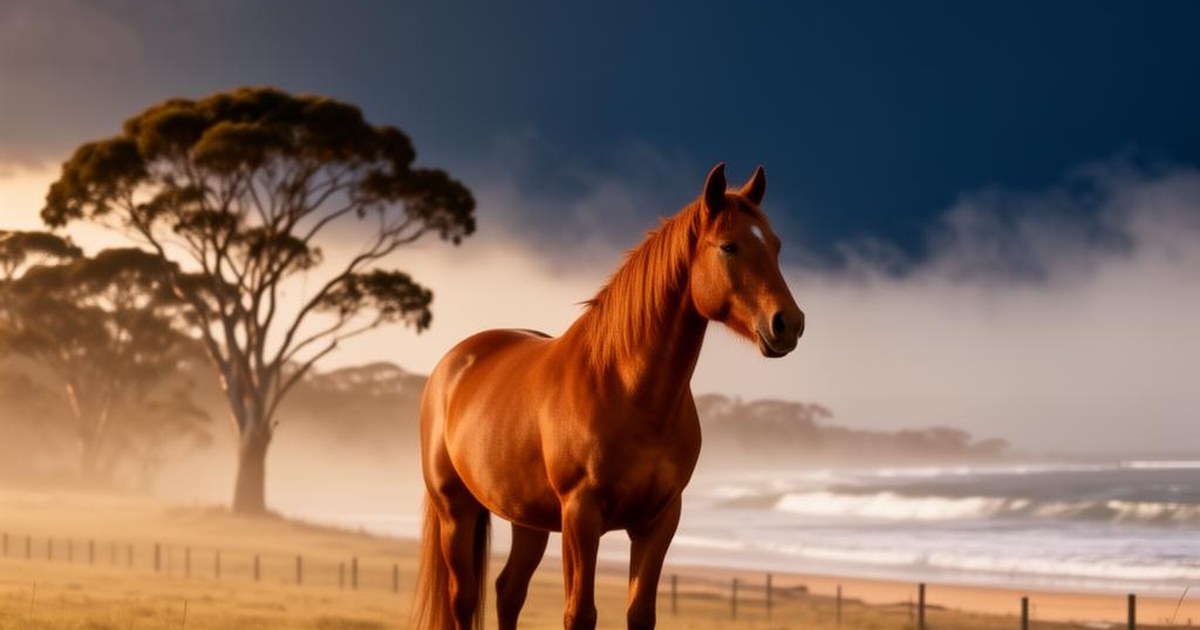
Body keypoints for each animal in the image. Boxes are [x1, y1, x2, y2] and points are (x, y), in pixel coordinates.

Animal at [414, 163, 805, 630]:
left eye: (777, 246)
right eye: (729, 246)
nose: (788, 323)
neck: (625, 391)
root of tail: (454, 362)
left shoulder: (660, 520)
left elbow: (641, 613)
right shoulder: (581, 516)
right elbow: (580, 613)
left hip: (527, 519)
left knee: (508, 592)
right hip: (456, 511)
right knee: (463, 598)